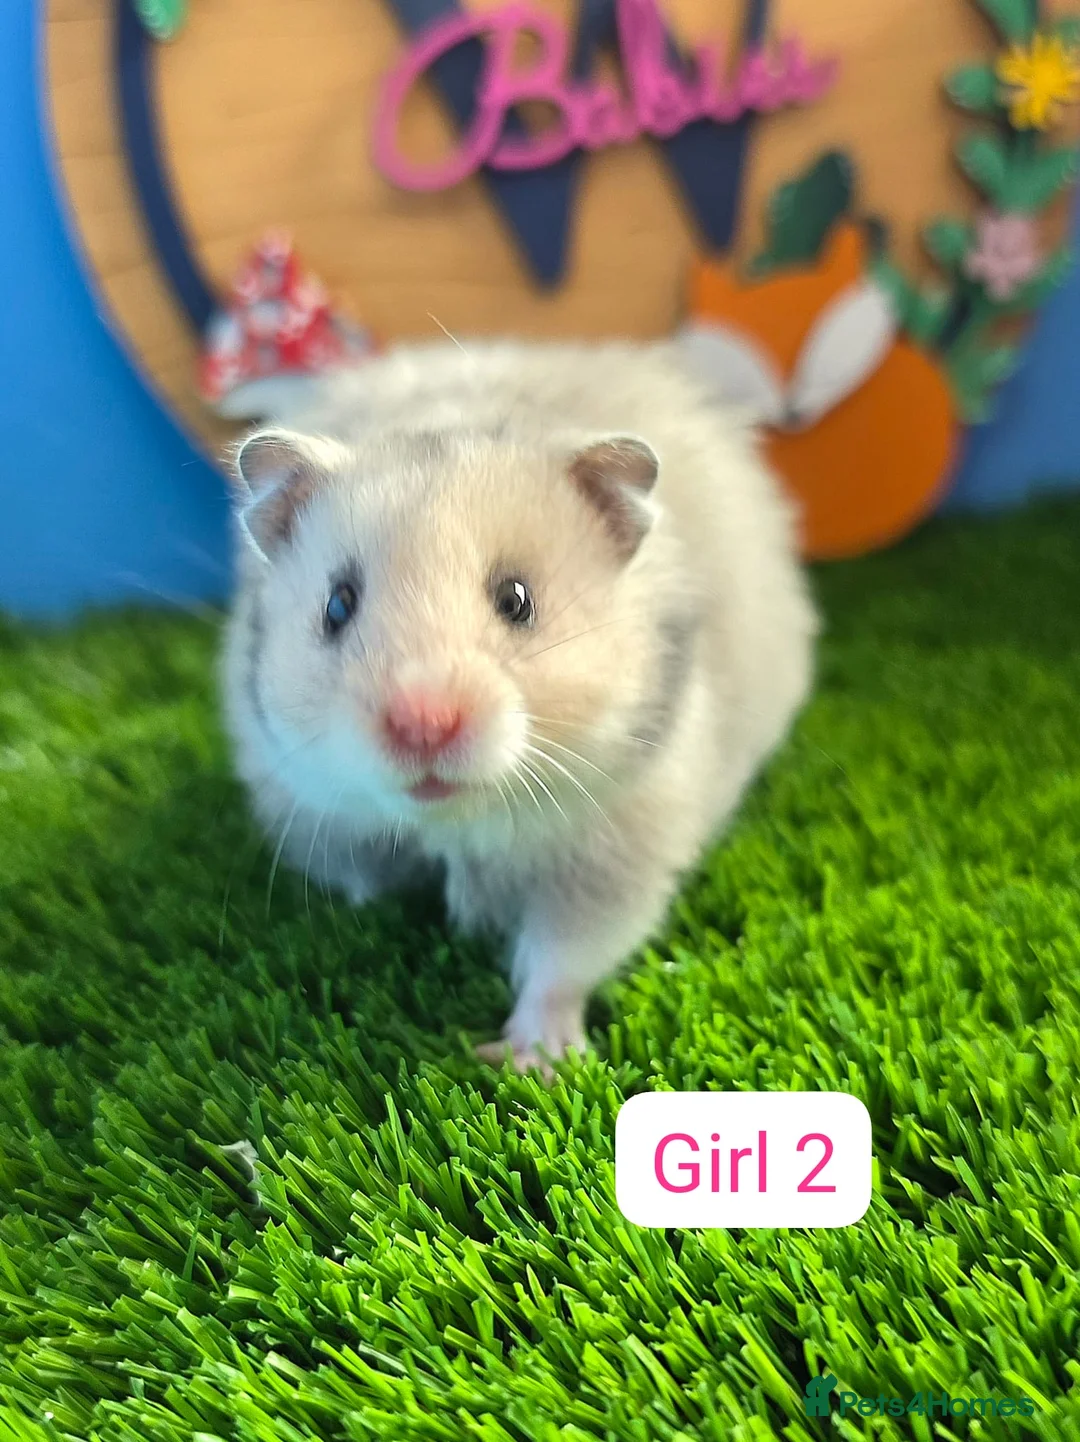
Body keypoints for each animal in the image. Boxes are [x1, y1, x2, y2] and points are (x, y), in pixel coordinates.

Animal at [221, 339, 817, 1072]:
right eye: (337, 605)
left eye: (517, 599)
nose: (424, 724)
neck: (456, 822)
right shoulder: (312, 810)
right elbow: (365, 878)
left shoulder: (617, 850)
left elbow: (563, 958)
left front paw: (531, 1060)